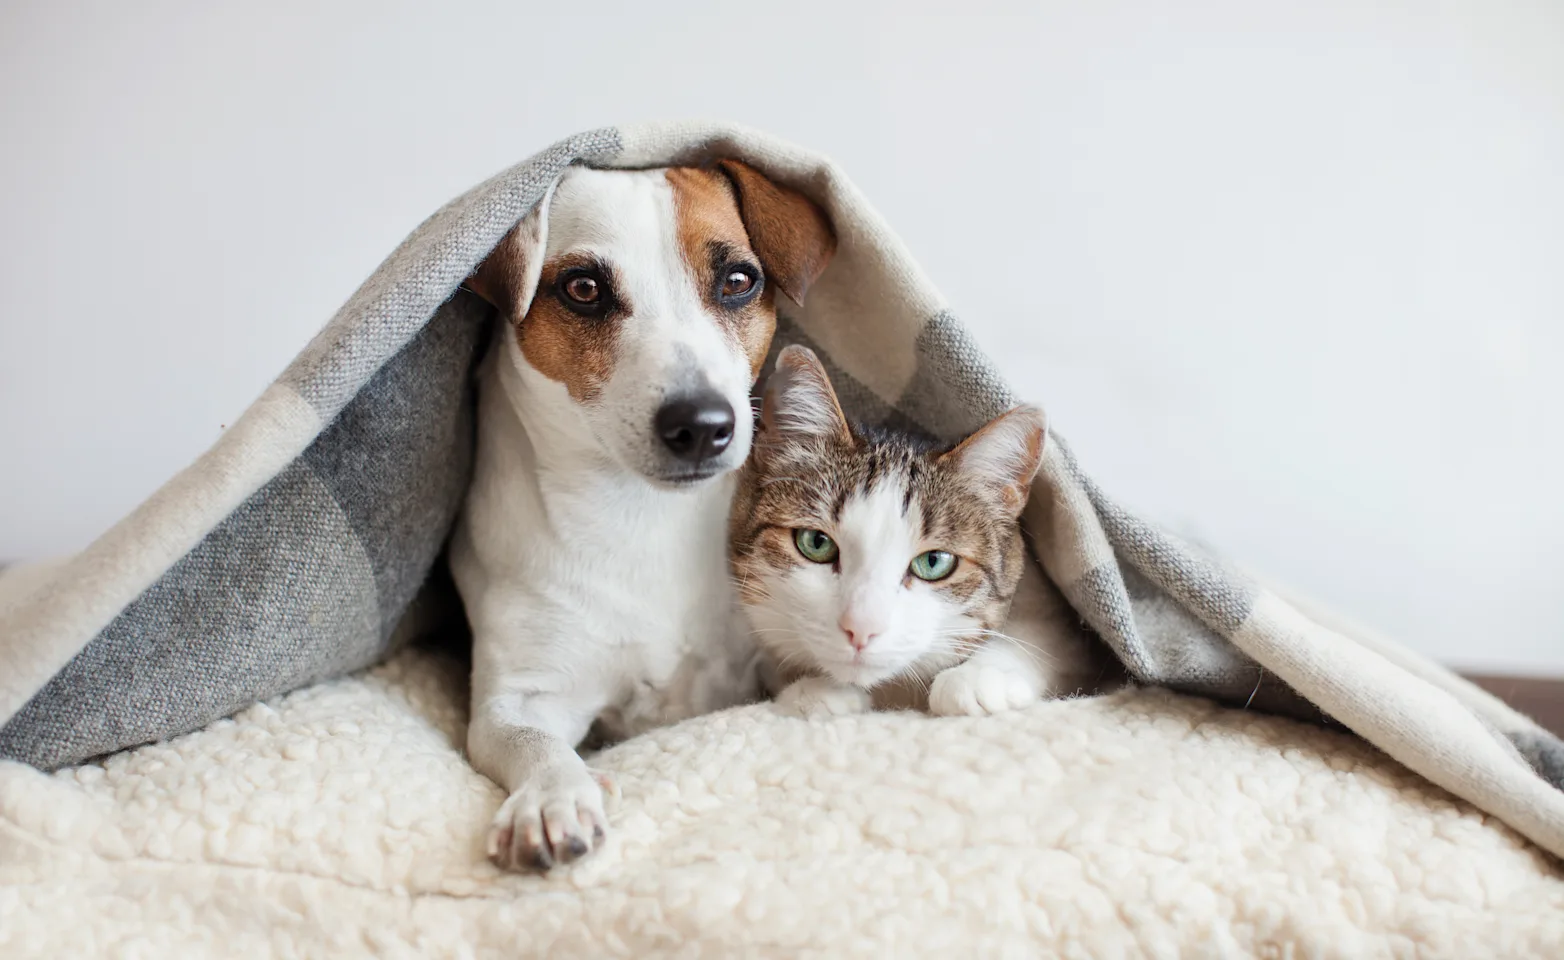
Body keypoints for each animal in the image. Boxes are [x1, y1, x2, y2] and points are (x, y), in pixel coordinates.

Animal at [450, 160, 832, 875]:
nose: (702, 425)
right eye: (583, 289)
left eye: (738, 281)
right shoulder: (517, 698)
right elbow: (531, 743)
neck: (642, 516)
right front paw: (552, 798)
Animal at [731, 345, 1113, 722]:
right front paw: (816, 690)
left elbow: (1044, 638)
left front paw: (979, 677)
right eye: (816, 543)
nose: (861, 629)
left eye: (934, 562)